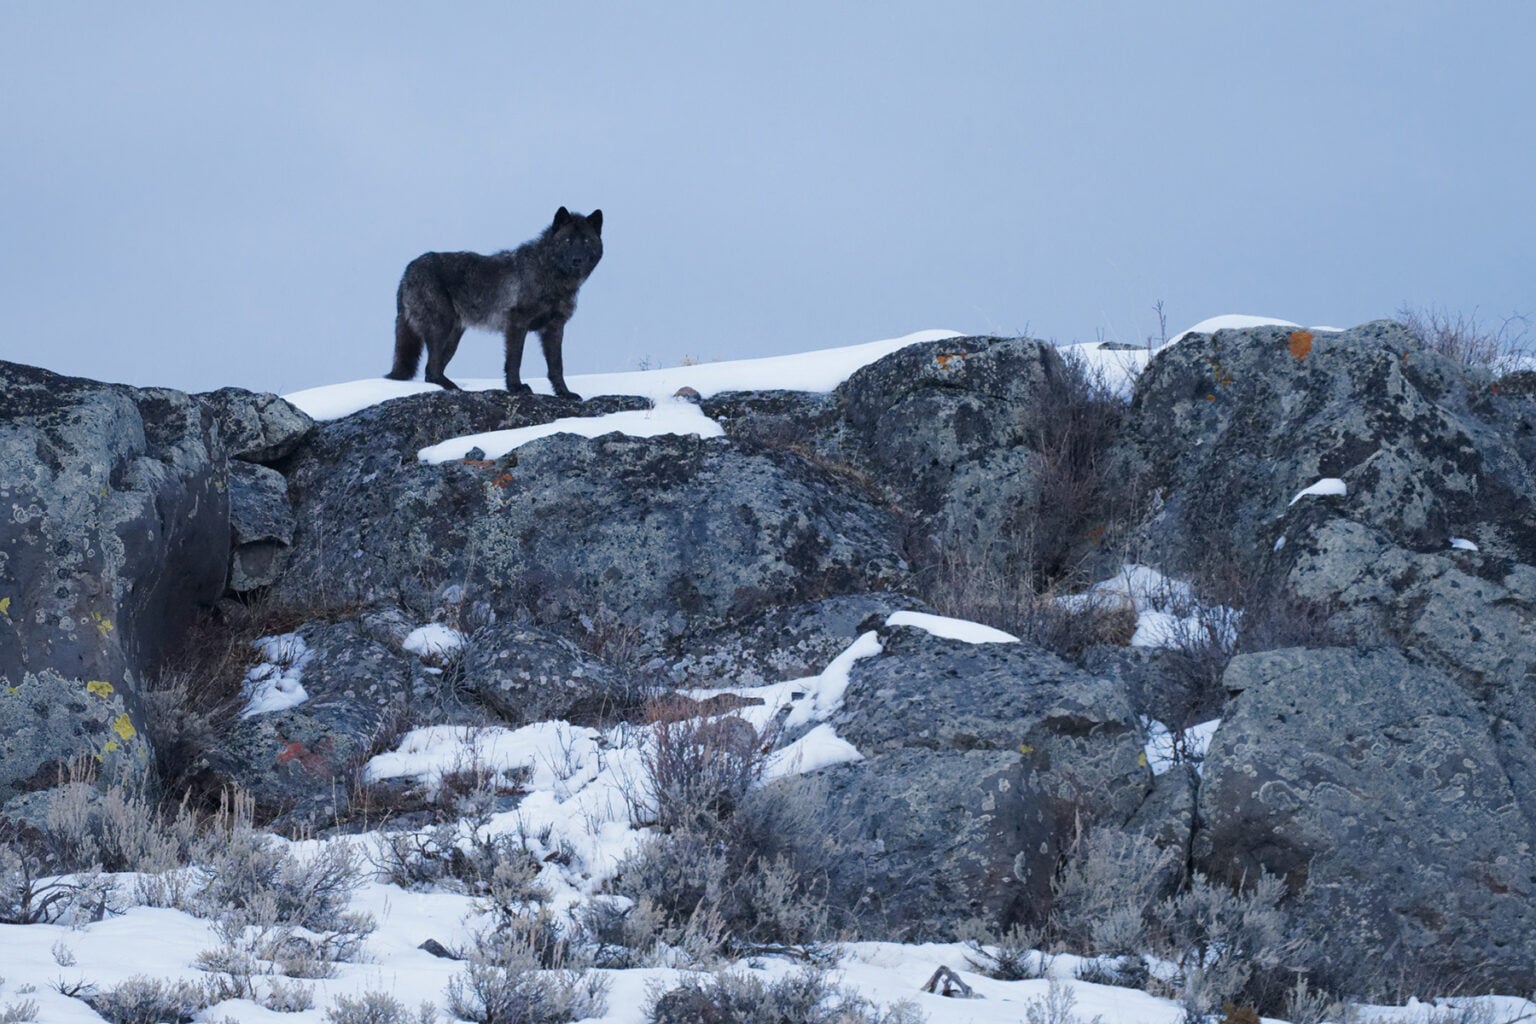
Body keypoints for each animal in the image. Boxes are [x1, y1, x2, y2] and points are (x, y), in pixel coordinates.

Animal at [387, 207, 603, 398]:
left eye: (586, 241)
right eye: (567, 241)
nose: (577, 260)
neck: (547, 272)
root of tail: (408, 269)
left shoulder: (554, 328)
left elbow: (557, 366)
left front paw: (564, 393)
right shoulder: (516, 324)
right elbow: (515, 360)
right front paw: (516, 387)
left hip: (452, 338)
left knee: (432, 370)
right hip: (441, 328)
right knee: (430, 370)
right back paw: (456, 390)